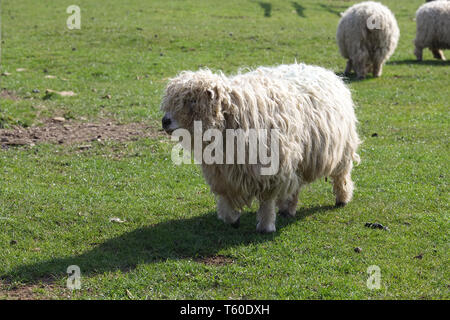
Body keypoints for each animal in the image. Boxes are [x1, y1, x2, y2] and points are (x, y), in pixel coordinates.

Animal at [160, 63, 360, 232]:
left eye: (192, 101)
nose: (165, 121)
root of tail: (325, 71)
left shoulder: (270, 169)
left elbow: (266, 201)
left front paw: (266, 226)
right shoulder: (222, 172)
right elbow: (225, 197)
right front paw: (230, 219)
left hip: (342, 149)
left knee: (341, 175)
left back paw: (342, 198)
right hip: (300, 155)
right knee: (296, 185)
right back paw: (288, 208)